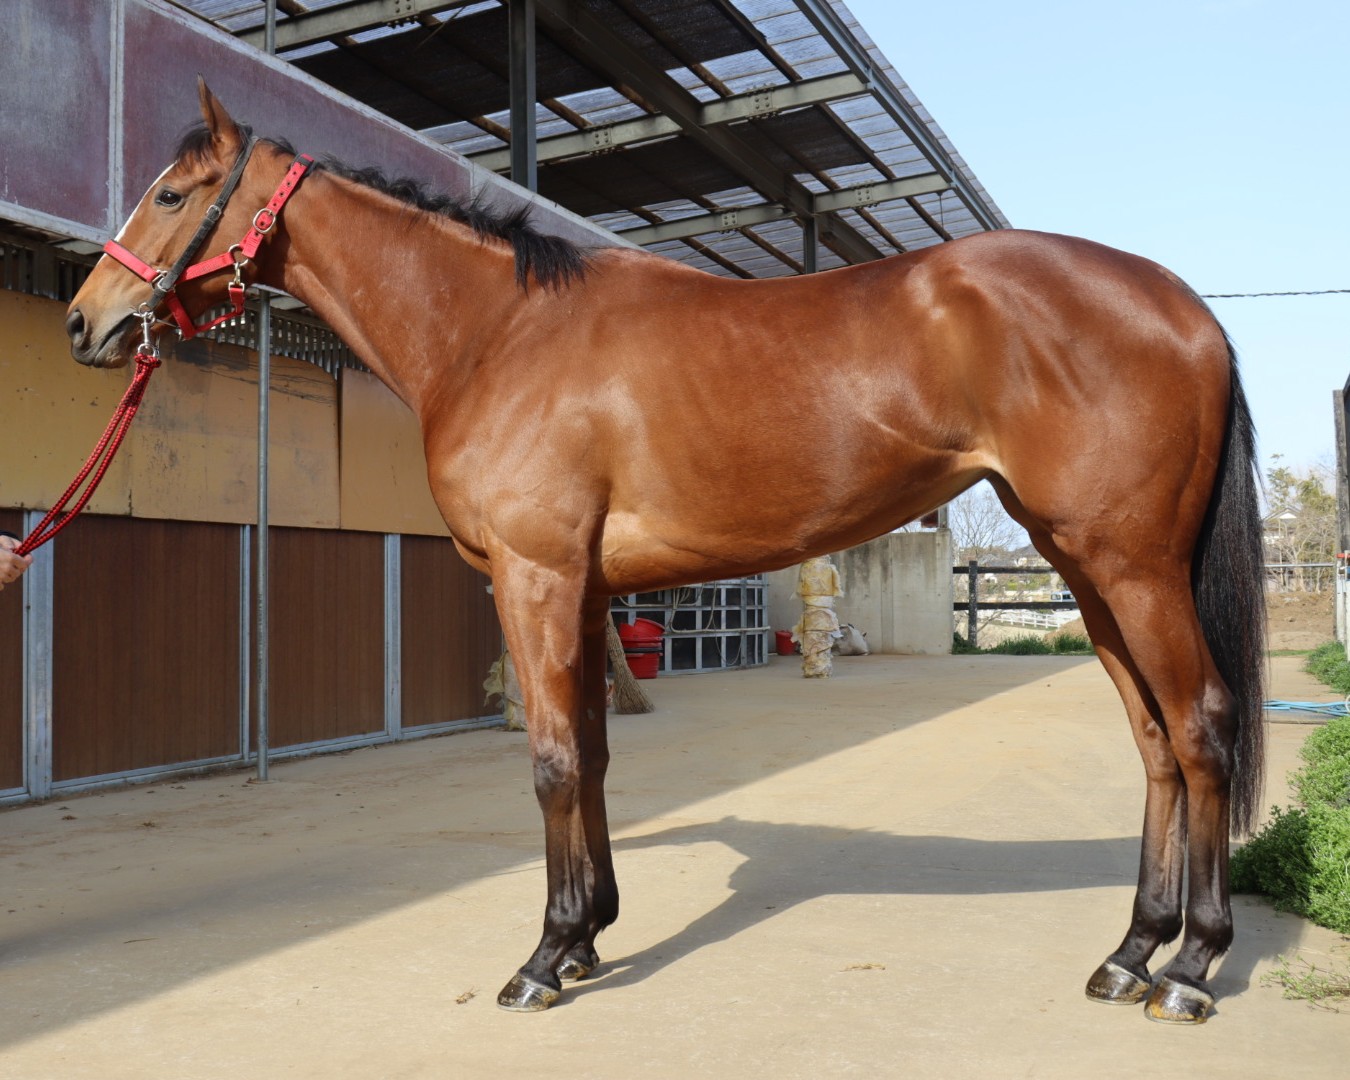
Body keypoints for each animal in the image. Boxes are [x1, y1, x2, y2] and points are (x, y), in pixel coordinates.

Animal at [64, 81, 1266, 1024]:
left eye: (170, 195)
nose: (86, 321)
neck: (496, 333)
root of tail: (1185, 307)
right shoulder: (588, 591)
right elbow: (593, 756)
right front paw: (591, 933)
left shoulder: (539, 579)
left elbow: (552, 761)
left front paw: (544, 959)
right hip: (1085, 568)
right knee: (1154, 742)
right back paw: (1130, 953)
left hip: (1131, 568)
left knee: (1201, 726)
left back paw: (1192, 967)